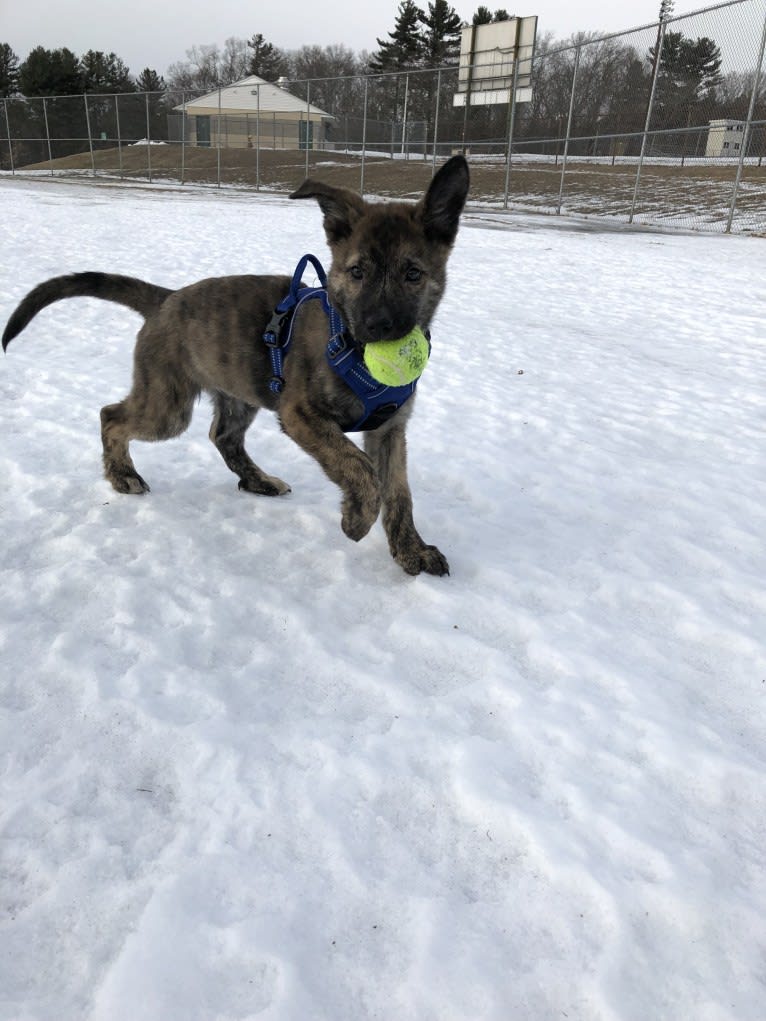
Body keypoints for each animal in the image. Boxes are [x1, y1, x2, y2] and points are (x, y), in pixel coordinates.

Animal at [3, 156, 471, 579]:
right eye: (356, 272)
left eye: (413, 273)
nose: (378, 326)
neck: (351, 349)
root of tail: (165, 299)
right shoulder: (300, 414)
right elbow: (359, 467)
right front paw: (357, 519)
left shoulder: (390, 429)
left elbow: (399, 491)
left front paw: (411, 550)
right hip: (168, 406)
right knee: (111, 416)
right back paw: (123, 476)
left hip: (237, 392)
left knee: (222, 436)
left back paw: (257, 480)